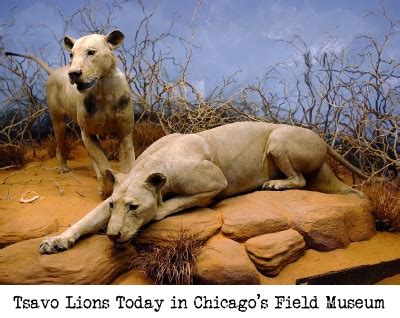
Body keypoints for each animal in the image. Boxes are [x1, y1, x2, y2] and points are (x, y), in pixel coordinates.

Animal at [5, 29, 134, 199]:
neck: (103, 90)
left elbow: (128, 164)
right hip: (59, 122)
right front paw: (106, 188)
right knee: (60, 147)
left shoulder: (125, 133)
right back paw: (63, 169)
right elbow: (103, 163)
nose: (73, 73)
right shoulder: (87, 133)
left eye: (91, 52)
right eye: (71, 54)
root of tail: (54, 71)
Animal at [39, 120, 372, 255]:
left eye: (134, 207)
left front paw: (157, 210)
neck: (151, 167)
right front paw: (56, 241)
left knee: (300, 180)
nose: (112, 235)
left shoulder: (215, 182)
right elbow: (84, 221)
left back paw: (275, 183)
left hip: (279, 139)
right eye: (113, 205)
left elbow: (172, 204)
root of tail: (323, 140)